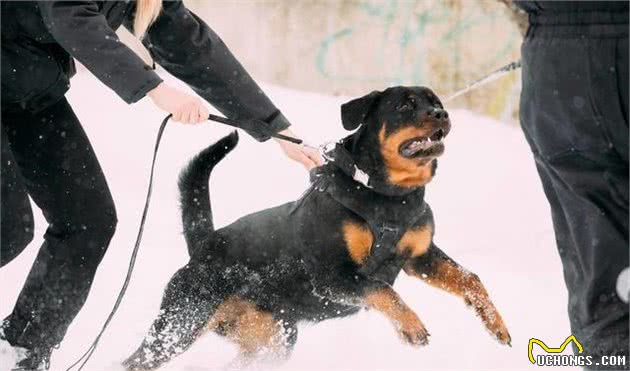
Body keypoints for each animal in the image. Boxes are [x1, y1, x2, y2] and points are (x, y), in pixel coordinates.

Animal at [123, 85, 512, 370]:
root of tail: (205, 242)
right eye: (406, 105)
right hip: (181, 322)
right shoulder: (331, 275)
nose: (442, 115)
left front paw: (496, 324)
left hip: (272, 341)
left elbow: (470, 279)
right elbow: (383, 290)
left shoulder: (421, 257)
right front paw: (411, 326)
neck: (389, 196)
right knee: (136, 360)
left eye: (436, 103)